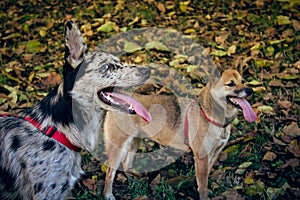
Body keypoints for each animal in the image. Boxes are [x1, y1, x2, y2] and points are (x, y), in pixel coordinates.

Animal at [102, 68, 255, 198]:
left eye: (242, 81)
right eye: (230, 84)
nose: (250, 90)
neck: (211, 116)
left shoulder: (213, 155)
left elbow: (204, 178)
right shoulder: (202, 157)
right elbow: (203, 186)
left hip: (135, 141)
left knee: (126, 163)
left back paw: (133, 180)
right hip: (118, 147)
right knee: (110, 173)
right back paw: (108, 194)